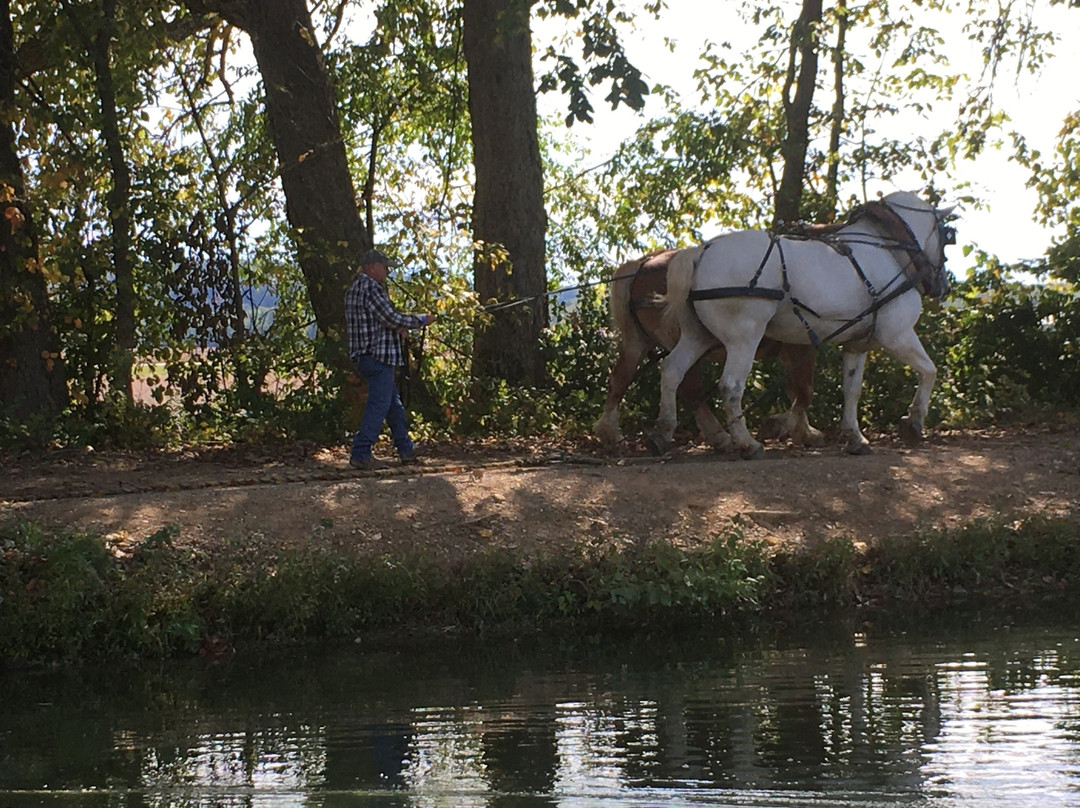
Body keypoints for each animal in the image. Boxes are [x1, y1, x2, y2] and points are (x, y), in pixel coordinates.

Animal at [596, 247, 820, 447]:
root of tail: (645, 262)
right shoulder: (800, 345)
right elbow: (804, 391)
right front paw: (790, 428)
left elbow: (795, 389)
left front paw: (803, 431)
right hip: (681, 338)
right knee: (690, 388)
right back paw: (718, 435)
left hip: (639, 342)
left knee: (621, 377)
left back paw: (609, 431)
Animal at [648, 189, 954, 453]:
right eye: (947, 235)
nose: (943, 286)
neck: (888, 249)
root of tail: (702, 251)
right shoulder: (897, 334)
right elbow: (930, 370)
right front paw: (914, 423)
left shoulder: (857, 343)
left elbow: (851, 390)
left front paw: (854, 437)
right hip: (744, 337)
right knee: (731, 386)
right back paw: (747, 443)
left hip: (698, 335)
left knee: (672, 371)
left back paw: (663, 433)